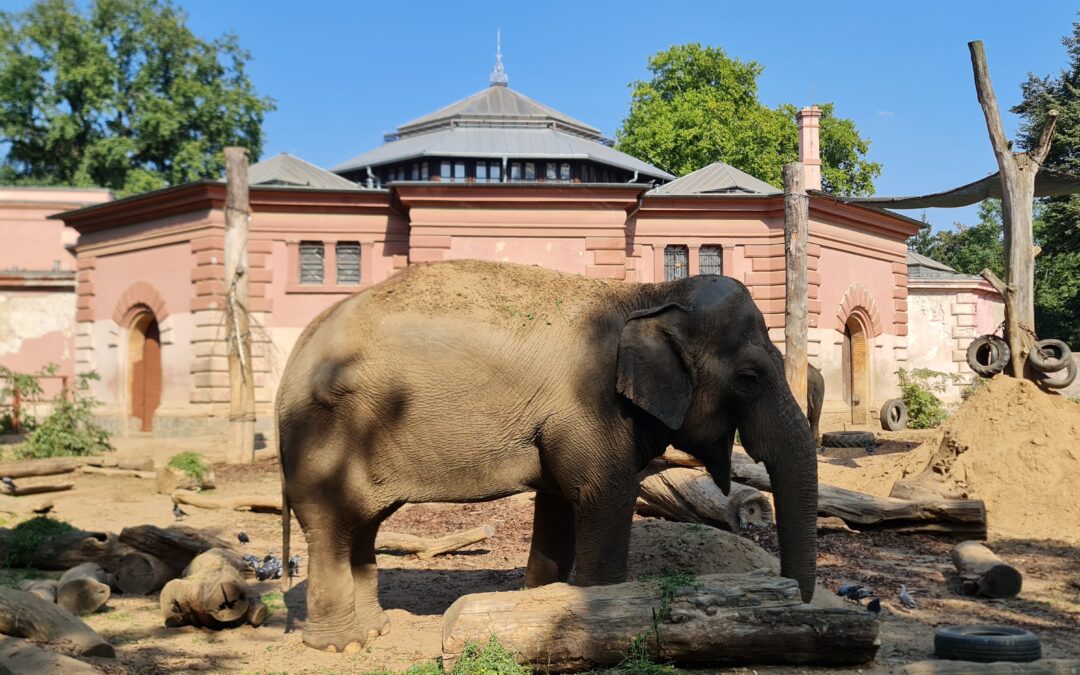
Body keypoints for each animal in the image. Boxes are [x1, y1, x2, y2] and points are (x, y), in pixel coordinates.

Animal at [278, 258, 816, 648]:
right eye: (749, 378)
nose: (800, 605)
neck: (648, 294)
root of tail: (301, 346)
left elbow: (558, 506)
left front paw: (536, 609)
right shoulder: (590, 407)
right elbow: (605, 499)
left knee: (364, 524)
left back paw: (375, 630)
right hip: (324, 432)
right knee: (331, 524)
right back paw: (341, 645)